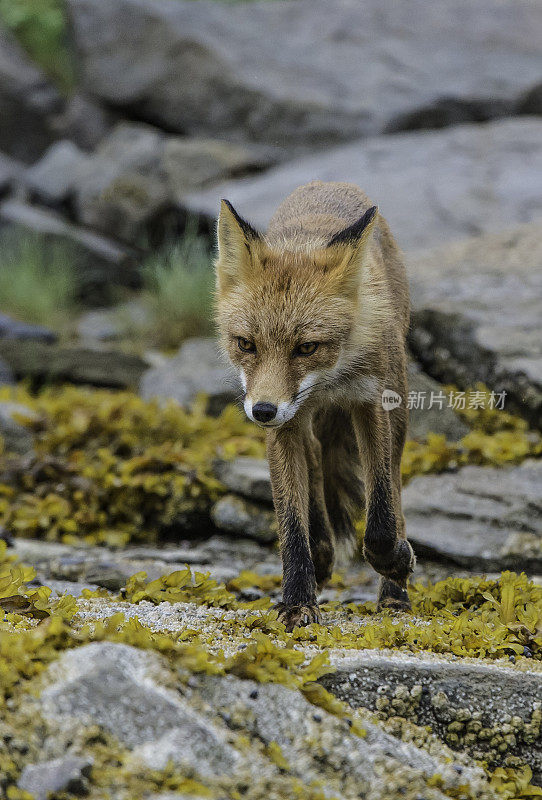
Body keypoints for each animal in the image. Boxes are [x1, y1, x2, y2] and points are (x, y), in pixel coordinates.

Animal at [215, 181, 414, 632]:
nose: (262, 412)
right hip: (306, 427)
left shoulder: (369, 404)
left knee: (393, 490)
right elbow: (291, 522)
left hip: (397, 409)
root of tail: (331, 183)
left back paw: (394, 592)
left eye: (306, 347)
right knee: (317, 477)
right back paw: (321, 559)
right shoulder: (286, 426)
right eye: (246, 344)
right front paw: (296, 601)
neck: (328, 382)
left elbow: (380, 518)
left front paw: (395, 561)